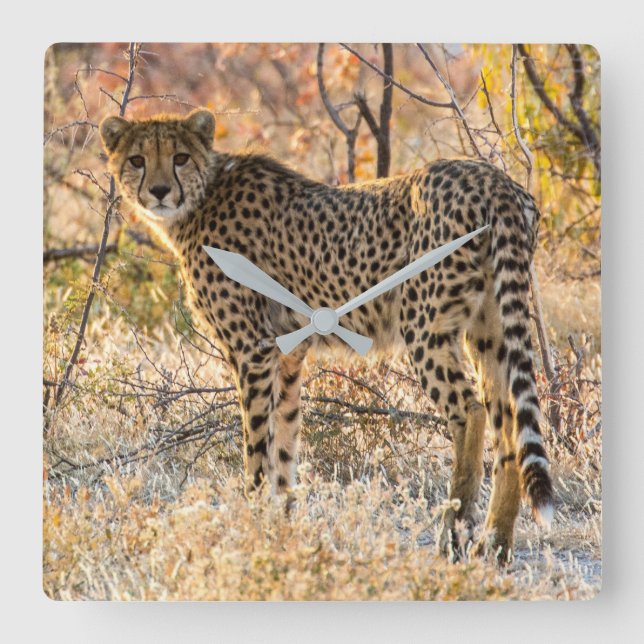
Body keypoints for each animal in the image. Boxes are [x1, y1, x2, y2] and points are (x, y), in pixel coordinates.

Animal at [100, 109, 553, 561]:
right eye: (138, 159)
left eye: (179, 157)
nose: (159, 191)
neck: (202, 196)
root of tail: (491, 178)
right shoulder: (287, 353)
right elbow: (284, 441)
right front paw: (281, 526)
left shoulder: (252, 349)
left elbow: (256, 445)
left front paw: (251, 522)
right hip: (489, 328)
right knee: (509, 424)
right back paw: (496, 544)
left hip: (425, 326)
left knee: (471, 411)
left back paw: (454, 534)